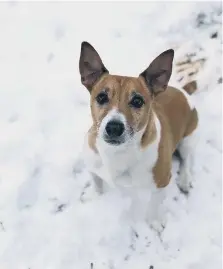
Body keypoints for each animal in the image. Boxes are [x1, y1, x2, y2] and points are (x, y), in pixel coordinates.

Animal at [76, 40, 199, 222]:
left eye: (137, 101)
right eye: (101, 97)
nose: (114, 127)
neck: (117, 152)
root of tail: (183, 91)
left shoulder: (161, 183)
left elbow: (153, 206)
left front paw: (154, 222)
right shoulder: (93, 166)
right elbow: (97, 183)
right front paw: (94, 196)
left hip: (188, 140)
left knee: (186, 160)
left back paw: (184, 179)